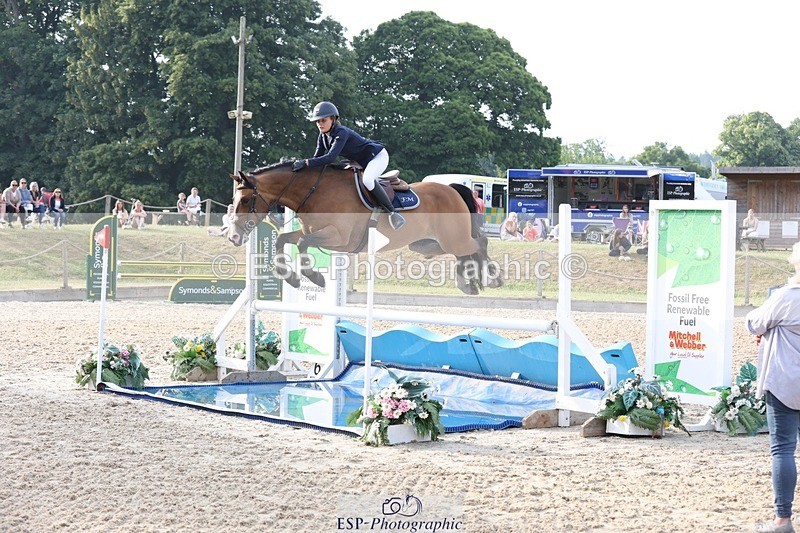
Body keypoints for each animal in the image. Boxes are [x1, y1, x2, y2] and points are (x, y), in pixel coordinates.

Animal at [227, 161, 503, 295]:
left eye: (246, 200)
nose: (234, 237)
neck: (314, 192)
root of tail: (453, 189)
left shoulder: (339, 238)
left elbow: (303, 244)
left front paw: (314, 277)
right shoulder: (310, 232)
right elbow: (282, 240)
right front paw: (292, 278)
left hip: (452, 238)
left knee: (480, 243)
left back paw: (491, 278)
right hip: (430, 245)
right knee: (465, 253)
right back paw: (469, 284)